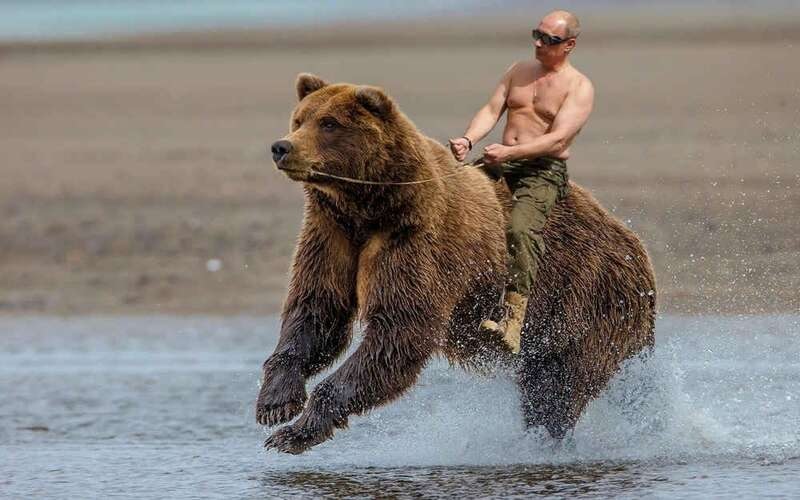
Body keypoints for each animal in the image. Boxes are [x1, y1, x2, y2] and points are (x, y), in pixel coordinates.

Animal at [256, 73, 656, 454]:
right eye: (299, 119)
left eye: (329, 123)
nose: (281, 147)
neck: (367, 206)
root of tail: (636, 247)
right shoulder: (332, 235)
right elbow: (317, 311)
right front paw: (275, 402)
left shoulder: (418, 240)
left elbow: (399, 330)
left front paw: (292, 433)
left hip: (586, 303)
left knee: (558, 389)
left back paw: (544, 439)